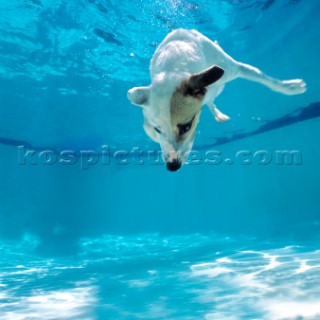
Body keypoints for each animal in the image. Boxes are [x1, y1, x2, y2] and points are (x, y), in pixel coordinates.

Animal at [126, 28, 306, 171]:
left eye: (187, 127)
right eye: (157, 129)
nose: (172, 166)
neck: (174, 65)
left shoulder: (236, 68)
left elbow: (265, 79)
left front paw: (290, 87)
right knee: (209, 101)